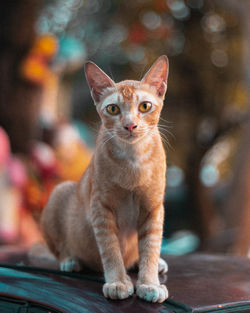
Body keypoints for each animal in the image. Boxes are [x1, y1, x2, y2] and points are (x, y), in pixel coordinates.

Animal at [41, 54, 170, 302]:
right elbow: (111, 249)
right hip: (59, 192)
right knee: (59, 250)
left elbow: (150, 246)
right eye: (113, 108)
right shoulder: (100, 207)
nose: (130, 125)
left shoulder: (153, 207)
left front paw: (149, 283)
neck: (133, 160)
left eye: (145, 106)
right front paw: (118, 281)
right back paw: (70, 260)